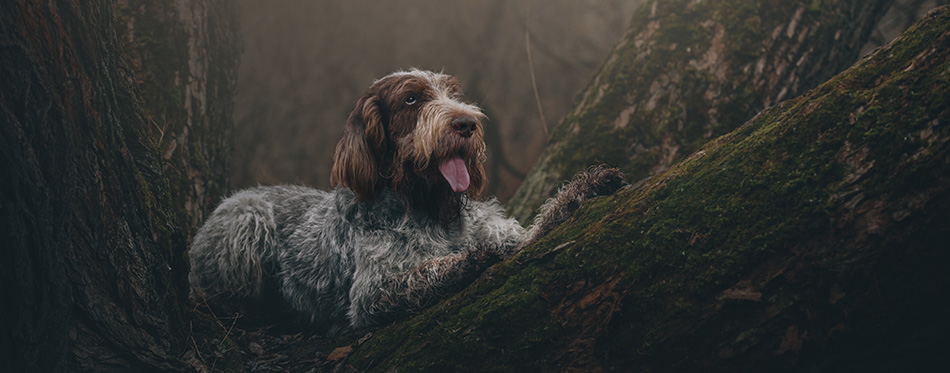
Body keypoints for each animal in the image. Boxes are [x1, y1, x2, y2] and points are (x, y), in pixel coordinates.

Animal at [190, 68, 628, 332]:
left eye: (452, 93)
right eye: (412, 100)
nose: (467, 123)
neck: (431, 207)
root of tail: (235, 196)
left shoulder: (510, 238)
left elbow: (539, 225)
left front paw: (586, 187)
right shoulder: (373, 294)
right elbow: (428, 271)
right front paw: (469, 260)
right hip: (246, 222)